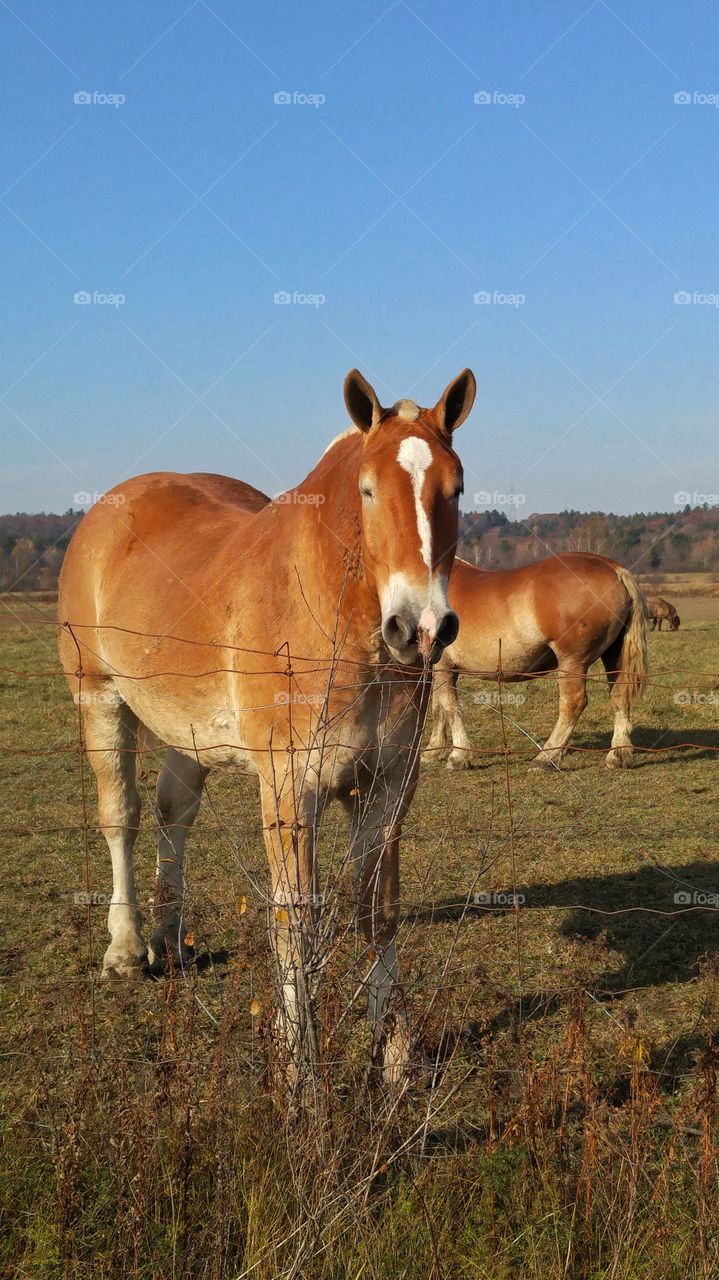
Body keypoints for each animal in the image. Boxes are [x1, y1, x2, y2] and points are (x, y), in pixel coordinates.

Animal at [57, 368, 476, 1083]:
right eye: (368, 490)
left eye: (456, 488)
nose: (420, 628)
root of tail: (107, 511)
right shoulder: (289, 789)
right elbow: (296, 919)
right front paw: (298, 1062)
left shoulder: (390, 785)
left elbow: (378, 911)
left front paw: (394, 1053)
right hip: (101, 701)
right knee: (123, 818)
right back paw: (127, 949)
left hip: (189, 734)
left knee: (174, 813)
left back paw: (172, 941)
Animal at [423, 553, 647, 771]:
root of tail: (613, 568)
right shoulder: (436, 667)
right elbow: (438, 706)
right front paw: (434, 750)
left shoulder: (444, 667)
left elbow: (450, 707)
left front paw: (458, 756)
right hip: (613, 656)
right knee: (620, 697)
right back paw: (618, 755)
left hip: (572, 662)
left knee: (573, 704)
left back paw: (546, 758)